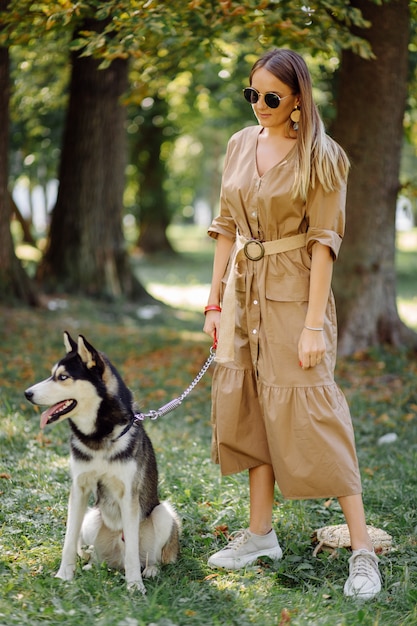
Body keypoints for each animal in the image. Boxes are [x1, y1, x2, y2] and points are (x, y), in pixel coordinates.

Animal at [24, 330, 180, 592]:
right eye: (52, 374)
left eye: (63, 377)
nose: (27, 394)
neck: (97, 439)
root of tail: (115, 560)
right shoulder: (79, 489)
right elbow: (68, 540)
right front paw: (64, 575)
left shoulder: (129, 495)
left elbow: (132, 551)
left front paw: (134, 586)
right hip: (91, 519)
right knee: (94, 554)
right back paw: (93, 566)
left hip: (162, 514)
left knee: (148, 556)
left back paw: (149, 570)